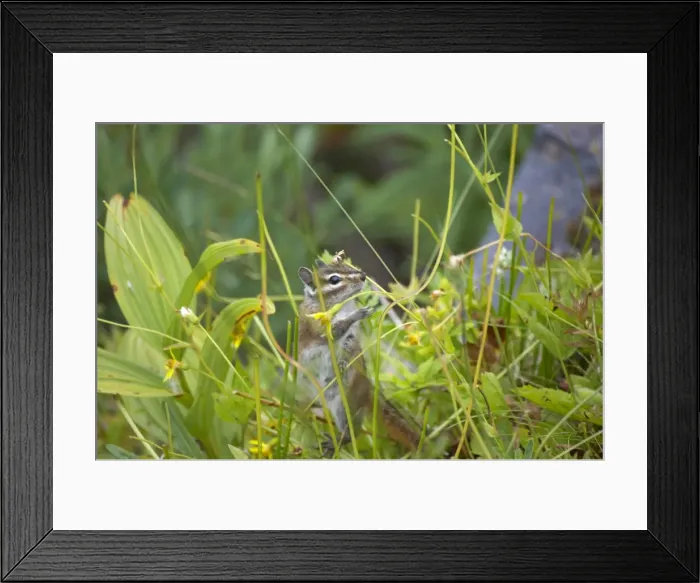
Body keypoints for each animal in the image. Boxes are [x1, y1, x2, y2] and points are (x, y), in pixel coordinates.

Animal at [296, 255, 424, 457]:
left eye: (345, 264)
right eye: (334, 279)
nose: (363, 275)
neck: (339, 307)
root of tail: (370, 390)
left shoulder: (351, 337)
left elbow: (350, 344)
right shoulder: (316, 323)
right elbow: (333, 331)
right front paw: (357, 313)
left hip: (344, 403)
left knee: (353, 432)